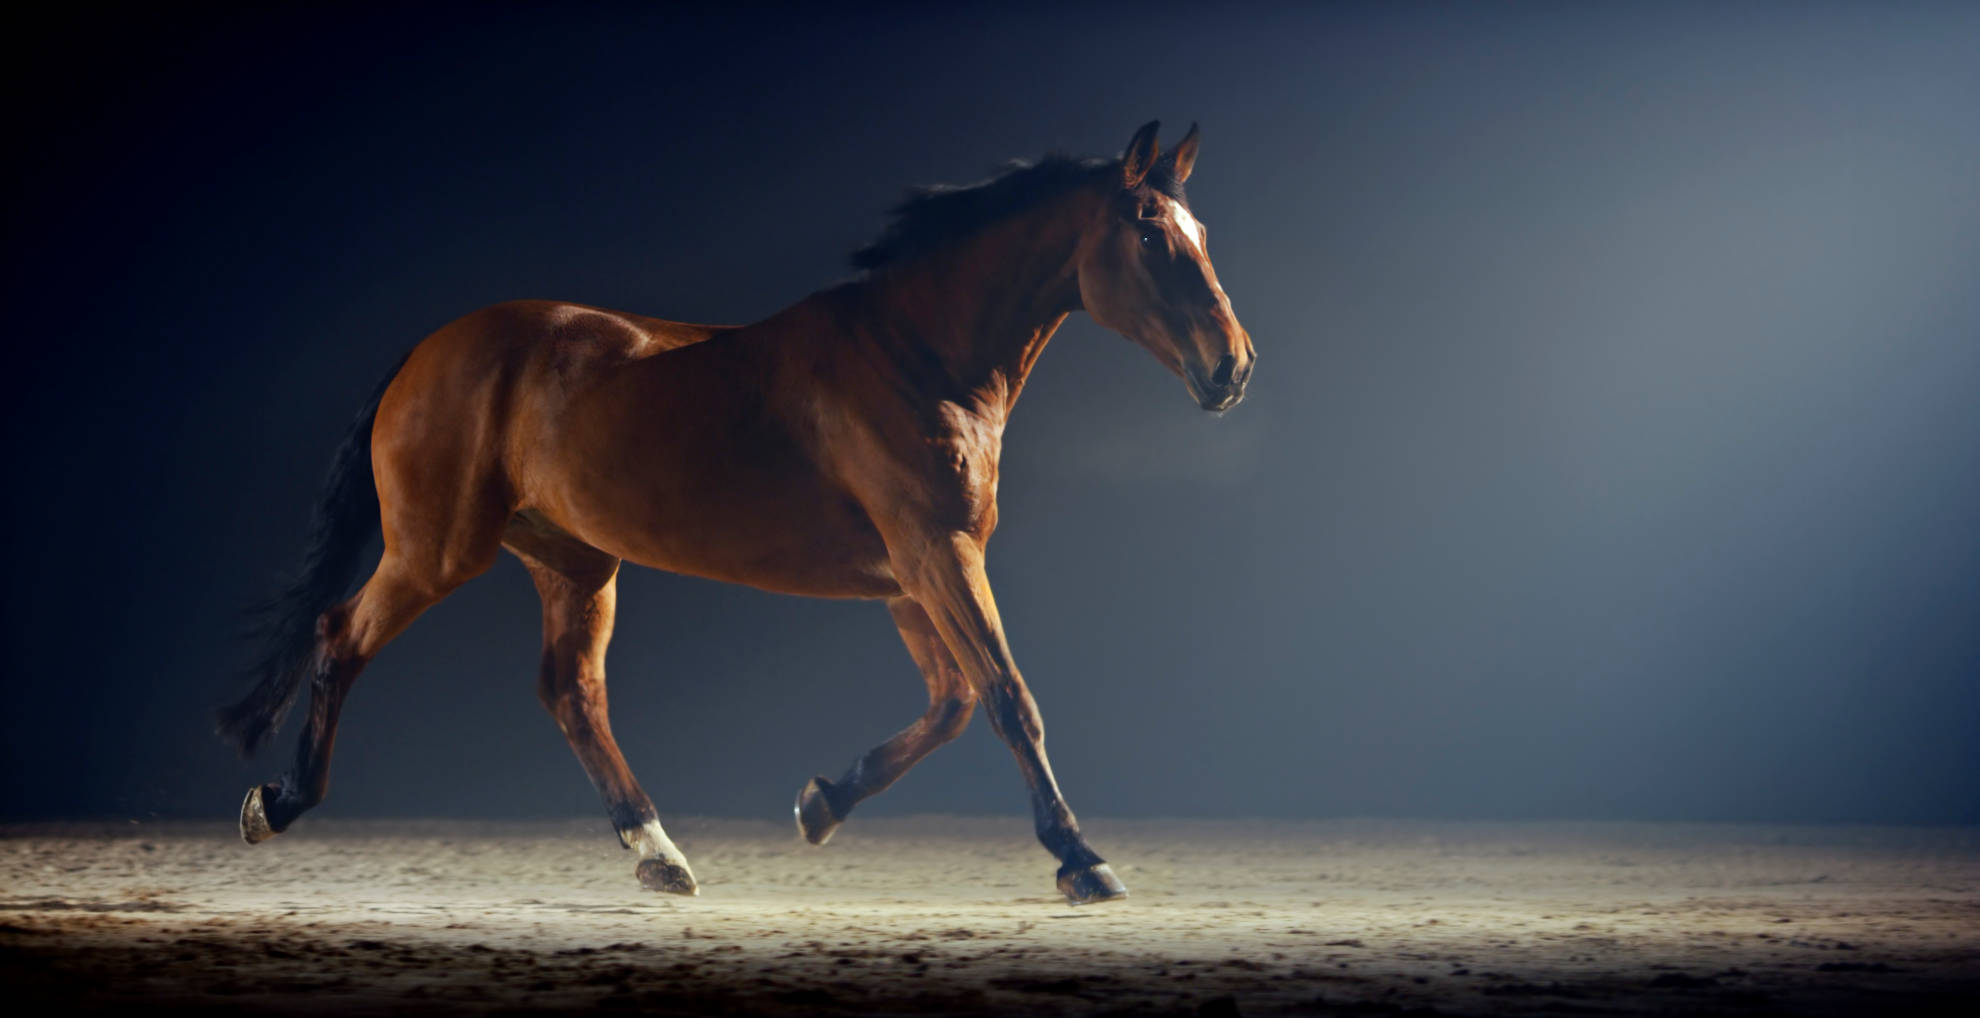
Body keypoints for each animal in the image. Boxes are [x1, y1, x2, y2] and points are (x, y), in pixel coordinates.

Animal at [217, 121, 1255, 905]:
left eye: (1202, 233)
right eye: (1154, 236)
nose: (1232, 367)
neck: (917, 357)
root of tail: (425, 352)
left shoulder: (912, 576)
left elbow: (954, 703)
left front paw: (821, 803)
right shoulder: (938, 555)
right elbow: (1008, 698)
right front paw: (1082, 860)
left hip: (573, 562)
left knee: (571, 693)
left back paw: (658, 853)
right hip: (439, 548)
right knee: (341, 635)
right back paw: (276, 804)